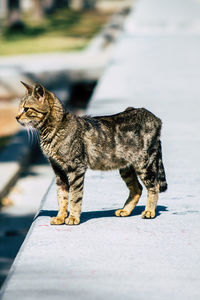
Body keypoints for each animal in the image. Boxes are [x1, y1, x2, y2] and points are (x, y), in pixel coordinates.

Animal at [16, 82, 167, 225]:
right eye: (19, 108)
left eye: (26, 109)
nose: (16, 117)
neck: (54, 129)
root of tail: (155, 118)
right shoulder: (59, 171)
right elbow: (62, 197)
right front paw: (60, 217)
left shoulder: (75, 168)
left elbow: (75, 197)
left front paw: (73, 217)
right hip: (126, 168)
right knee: (137, 189)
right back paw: (125, 210)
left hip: (144, 163)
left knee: (154, 186)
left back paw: (149, 211)